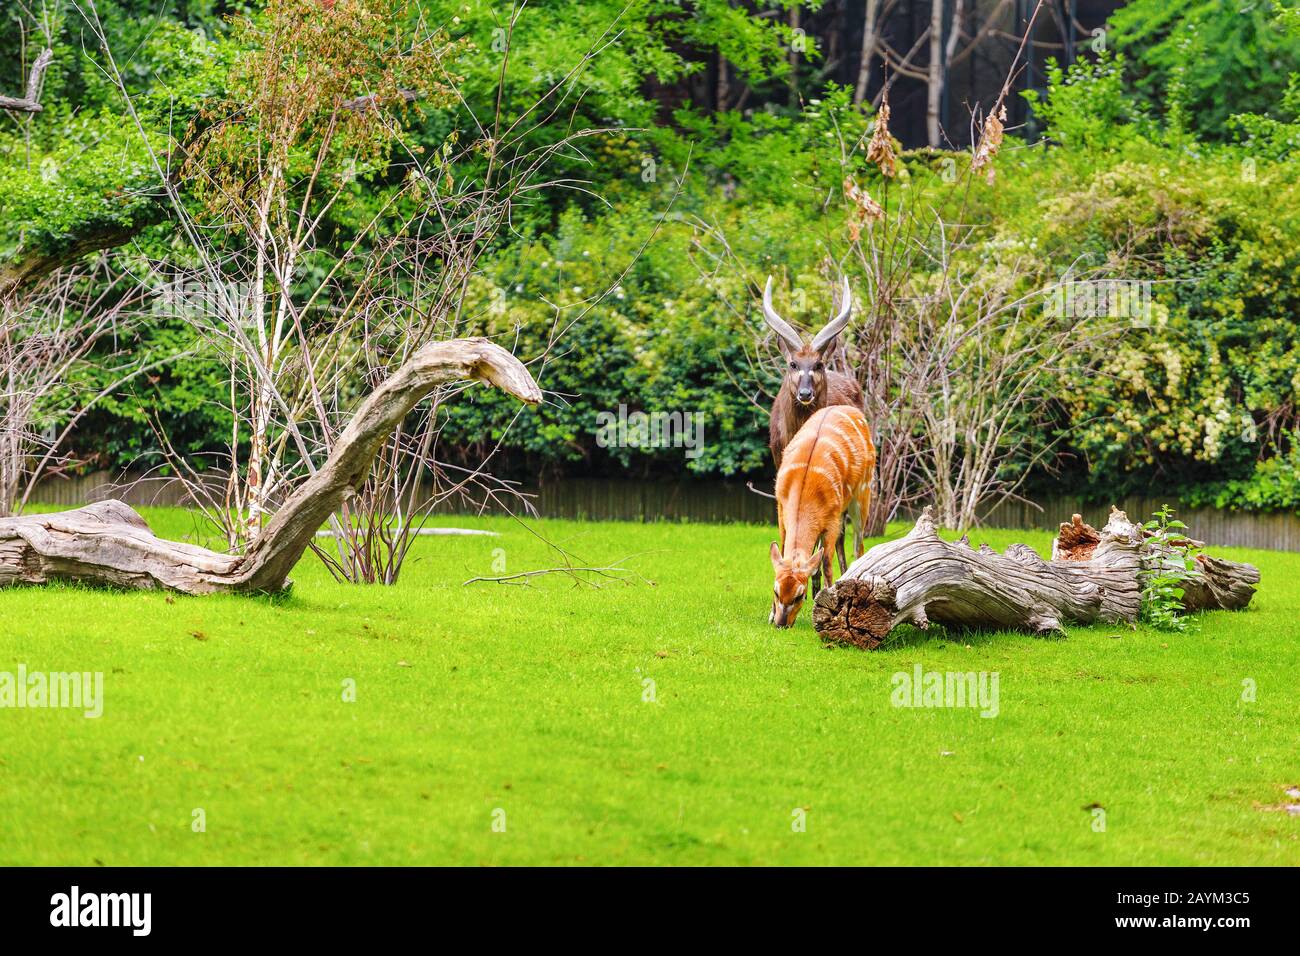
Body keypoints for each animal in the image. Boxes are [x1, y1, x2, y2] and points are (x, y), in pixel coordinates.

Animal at [769, 403, 873, 629]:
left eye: (799, 596)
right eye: (776, 591)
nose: (781, 624)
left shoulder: (832, 518)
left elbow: (826, 561)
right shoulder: (780, 508)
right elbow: (785, 547)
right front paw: (770, 614)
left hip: (863, 494)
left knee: (858, 545)